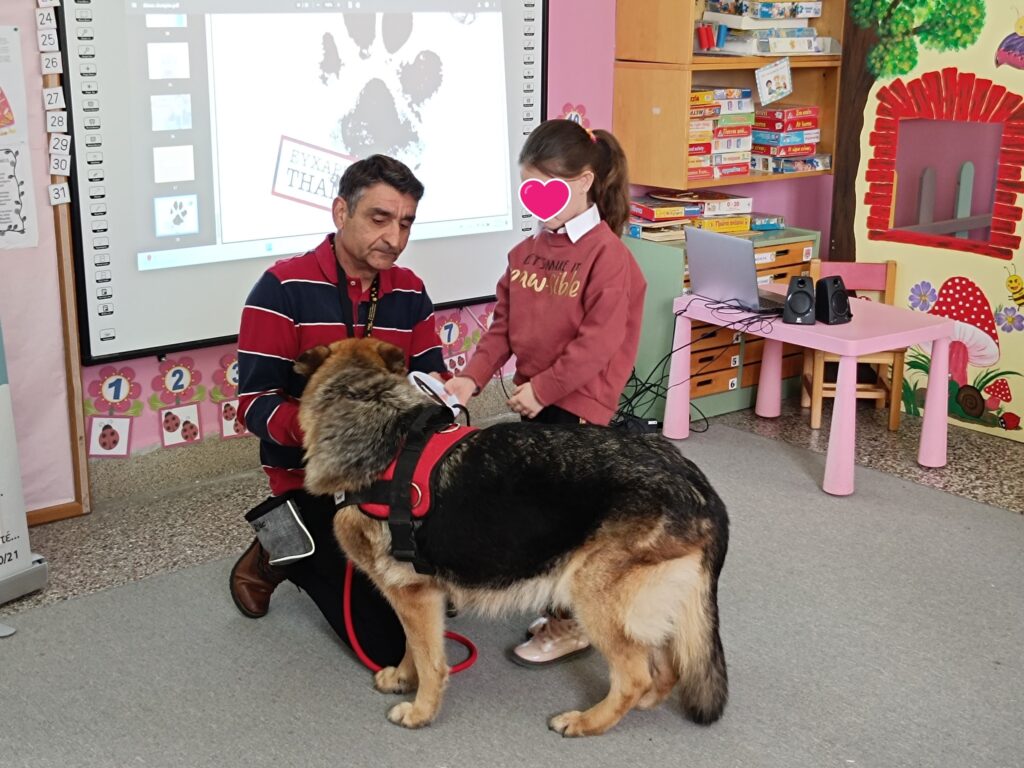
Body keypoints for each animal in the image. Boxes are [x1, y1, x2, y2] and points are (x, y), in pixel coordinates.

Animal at [295, 337, 729, 736]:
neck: (372, 408)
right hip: (647, 604)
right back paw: (646, 702)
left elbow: (428, 659)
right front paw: (403, 678)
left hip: (594, 597)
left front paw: (420, 711)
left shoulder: (412, 596)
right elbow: (410, 648)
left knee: (635, 676)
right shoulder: (419, 597)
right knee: (669, 665)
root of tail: (698, 484)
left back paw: (587, 721)